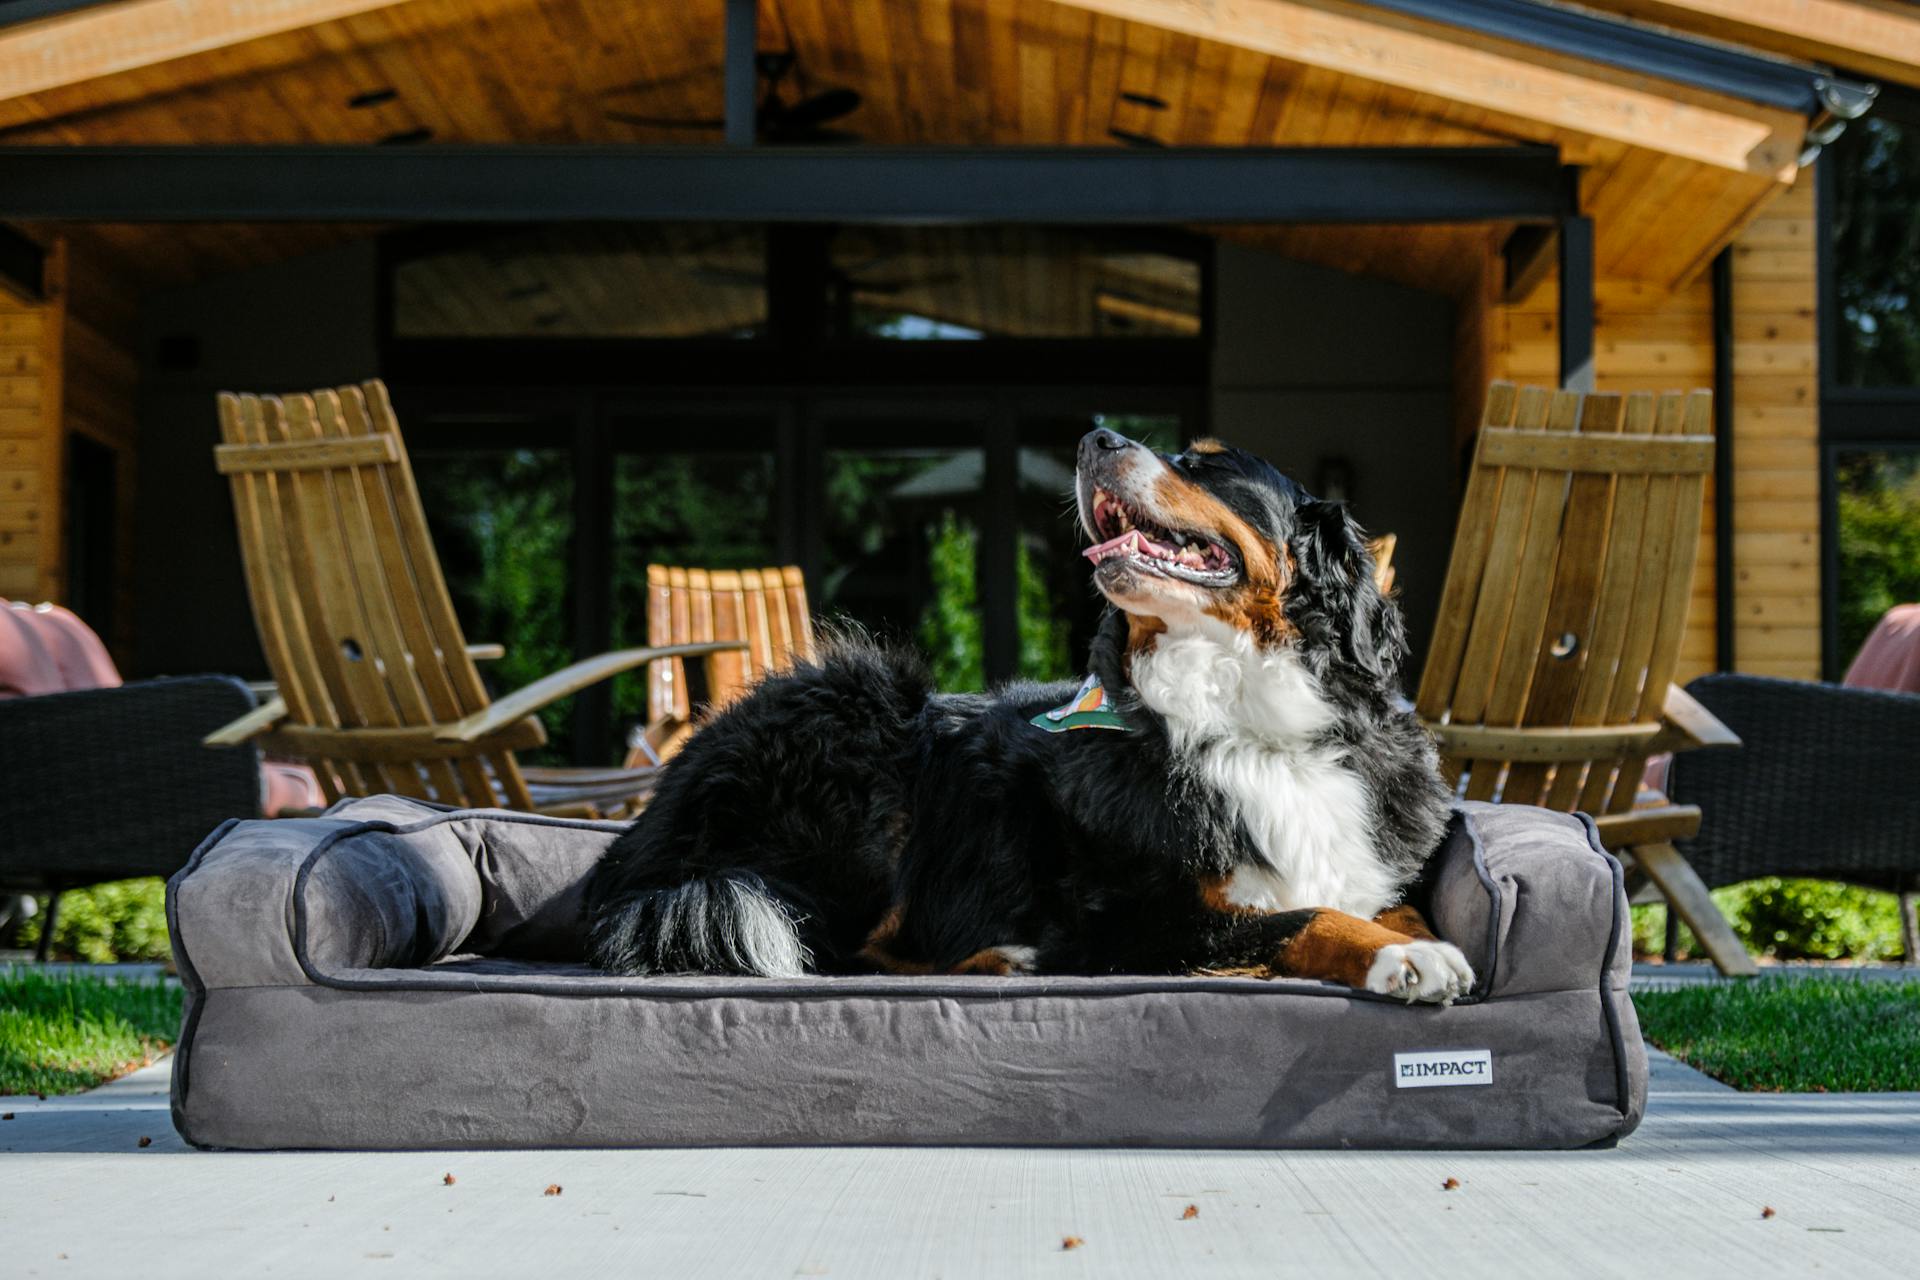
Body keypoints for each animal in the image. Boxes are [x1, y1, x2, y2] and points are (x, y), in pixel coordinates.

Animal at [583, 426, 1466, 1005]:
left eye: (1206, 464)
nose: (1096, 436)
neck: (1251, 727)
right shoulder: (1131, 923)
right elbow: (1305, 916)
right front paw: (1407, 961)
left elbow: (1393, 904)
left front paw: (1413, 939)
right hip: (862, 712)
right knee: (837, 950)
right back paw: (1004, 957)